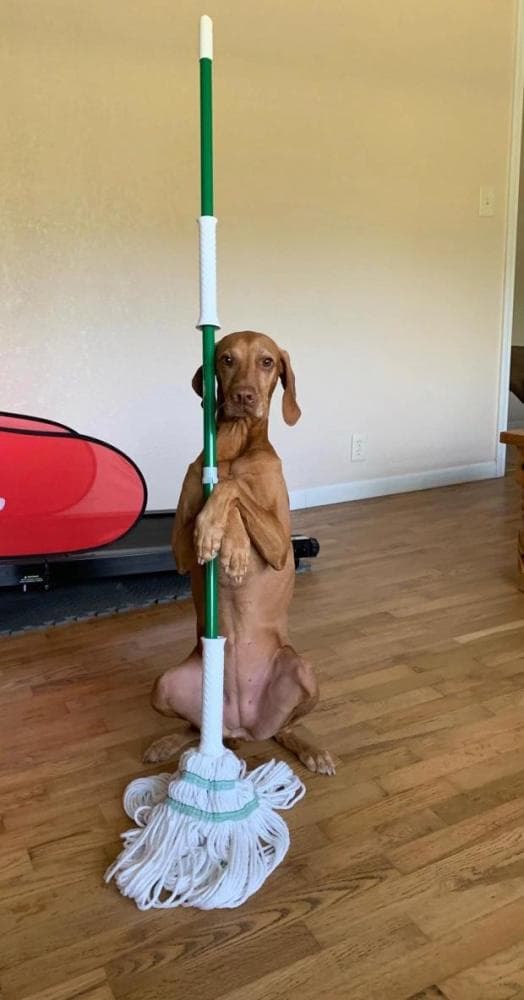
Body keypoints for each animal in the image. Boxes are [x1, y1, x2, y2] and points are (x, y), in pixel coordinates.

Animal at [142, 332, 336, 776]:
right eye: (227, 359)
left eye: (267, 362)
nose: (244, 396)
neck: (234, 446)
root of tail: (242, 727)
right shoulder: (179, 548)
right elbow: (217, 496)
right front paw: (219, 538)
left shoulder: (281, 545)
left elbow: (233, 489)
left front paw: (229, 546)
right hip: (165, 685)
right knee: (195, 728)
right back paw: (169, 743)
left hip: (303, 672)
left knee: (284, 727)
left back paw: (311, 748)